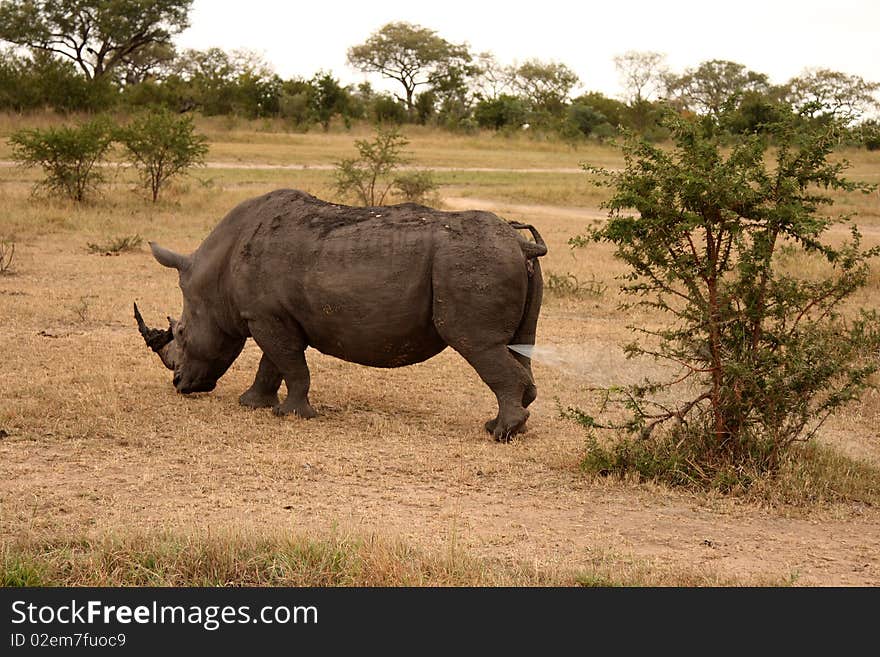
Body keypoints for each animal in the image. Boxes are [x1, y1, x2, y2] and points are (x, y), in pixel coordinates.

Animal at [134, 187, 548, 438]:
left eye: (182, 333)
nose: (179, 385)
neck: (213, 277)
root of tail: (522, 244)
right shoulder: (271, 316)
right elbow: (273, 363)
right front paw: (252, 405)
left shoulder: (265, 317)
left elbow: (290, 364)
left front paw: (292, 415)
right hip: (499, 262)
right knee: (518, 344)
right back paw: (506, 425)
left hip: (470, 263)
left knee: (476, 343)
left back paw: (499, 433)